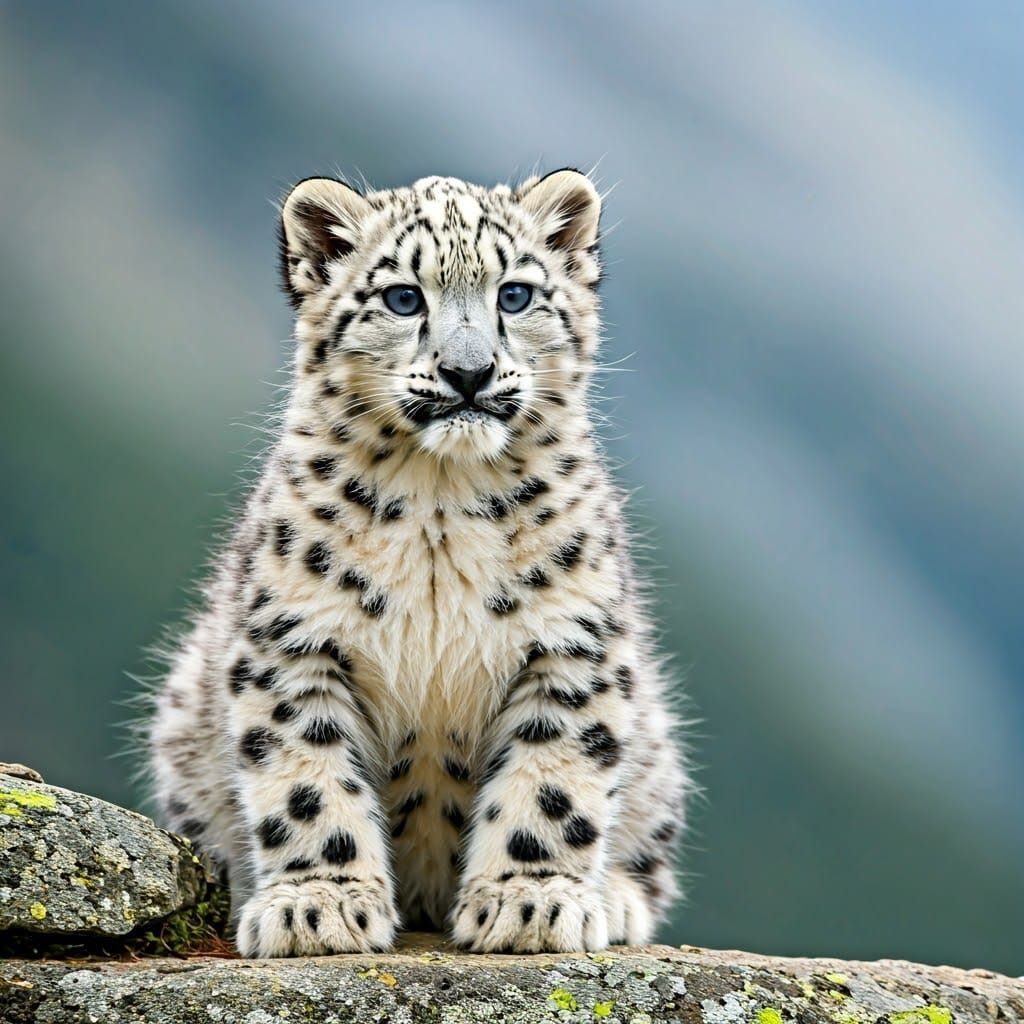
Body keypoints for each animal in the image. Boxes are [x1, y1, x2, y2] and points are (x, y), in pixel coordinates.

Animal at [148, 168, 691, 956]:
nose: (469, 372)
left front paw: (531, 901)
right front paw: (319, 906)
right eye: (404, 297)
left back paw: (613, 898)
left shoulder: (570, 646)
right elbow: (306, 781)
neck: (442, 507)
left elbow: (551, 780)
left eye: (514, 294)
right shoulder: (295, 644)